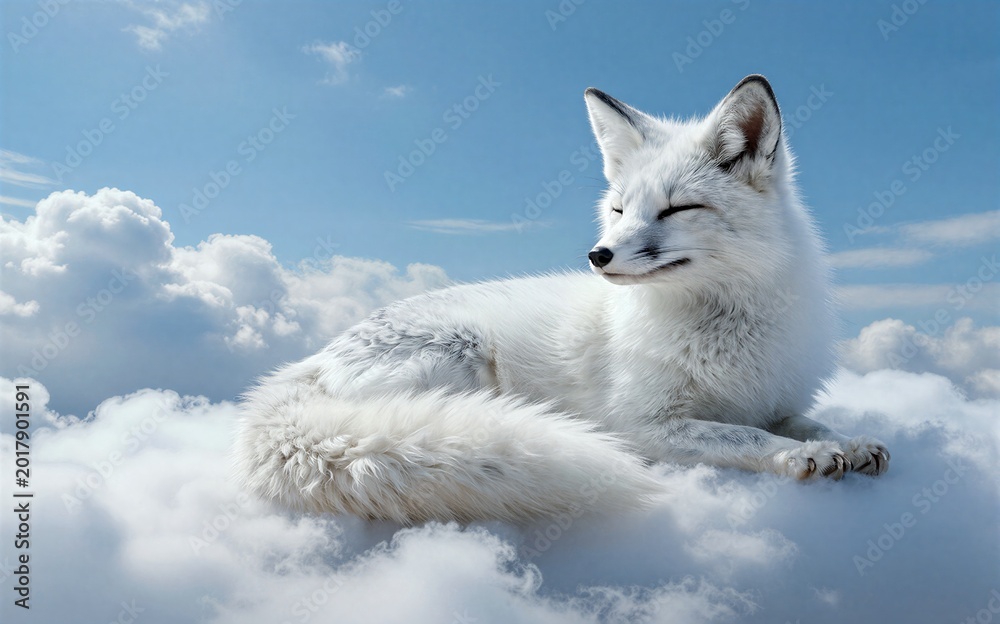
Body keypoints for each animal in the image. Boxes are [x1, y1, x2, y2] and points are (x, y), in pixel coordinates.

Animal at [235, 75, 890, 524]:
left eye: (677, 209)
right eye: (620, 209)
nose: (598, 256)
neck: (728, 331)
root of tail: (310, 364)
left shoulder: (774, 399)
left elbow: (807, 421)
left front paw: (850, 442)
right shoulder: (641, 425)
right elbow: (746, 438)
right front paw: (802, 456)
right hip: (457, 361)